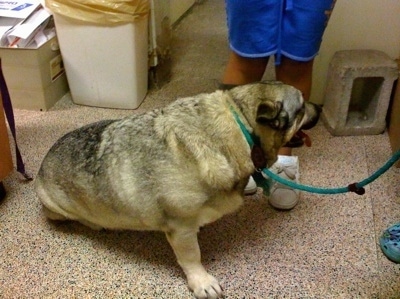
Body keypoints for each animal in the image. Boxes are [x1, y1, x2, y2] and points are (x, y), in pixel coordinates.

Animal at [36, 81, 320, 298]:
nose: (320, 107)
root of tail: (41, 166)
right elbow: (192, 257)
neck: (240, 126)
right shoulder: (181, 228)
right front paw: (201, 281)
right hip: (56, 207)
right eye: (302, 106)